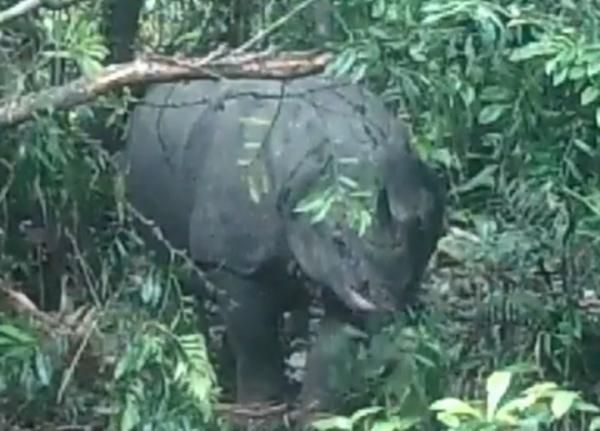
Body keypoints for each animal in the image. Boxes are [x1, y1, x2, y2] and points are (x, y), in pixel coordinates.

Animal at [123, 76, 446, 414]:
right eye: (339, 242)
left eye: (421, 229)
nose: (388, 291)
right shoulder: (237, 260)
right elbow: (254, 338)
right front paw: (260, 409)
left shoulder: (342, 278)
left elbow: (335, 346)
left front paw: (319, 414)